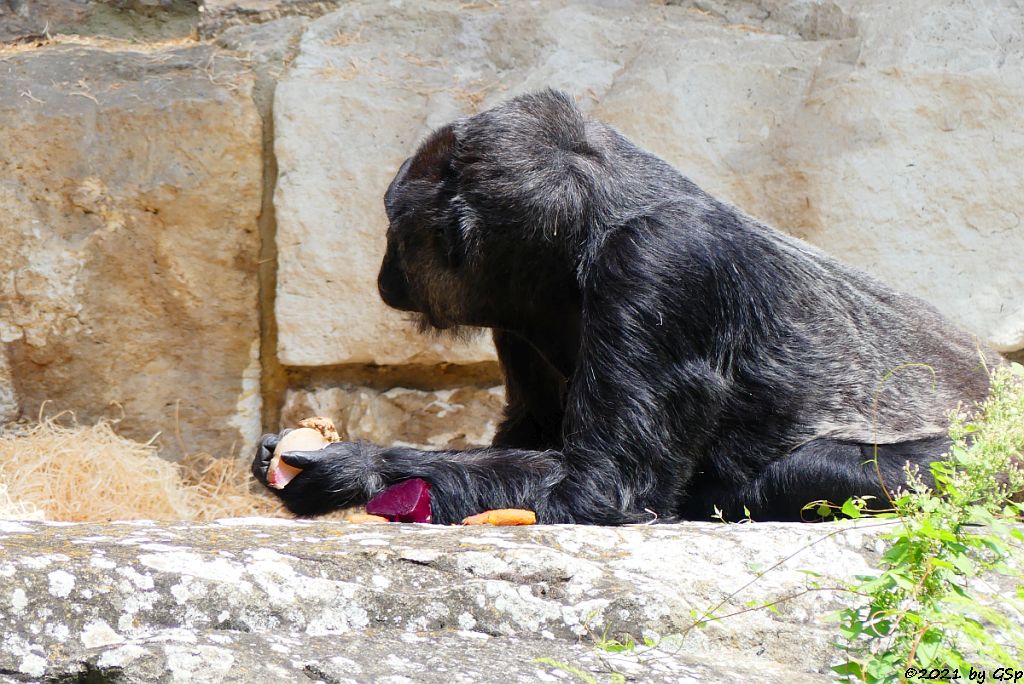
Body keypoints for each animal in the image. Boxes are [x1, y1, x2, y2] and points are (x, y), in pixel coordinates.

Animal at [251, 87, 995, 524]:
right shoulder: (518, 309)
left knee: (817, 471)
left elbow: (603, 485)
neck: (585, 239)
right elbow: (532, 439)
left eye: (395, 230)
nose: (385, 270)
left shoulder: (662, 262)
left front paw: (356, 468)